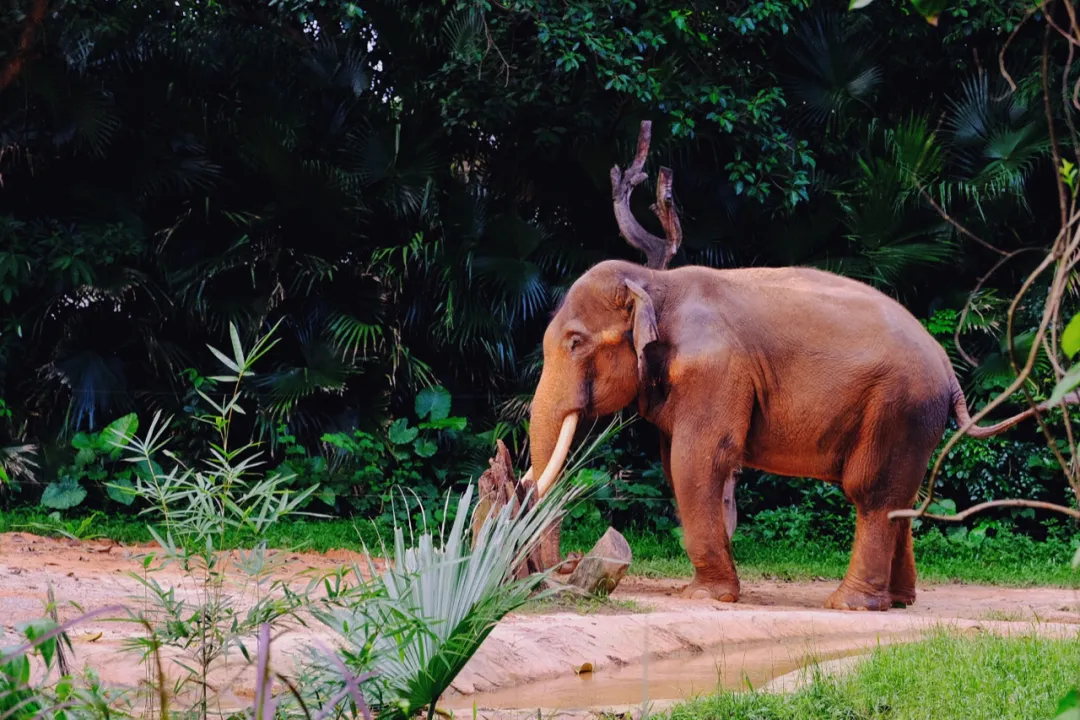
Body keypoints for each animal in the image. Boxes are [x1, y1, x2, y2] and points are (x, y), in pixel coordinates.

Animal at [524, 255, 1071, 613]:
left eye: (575, 342)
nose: (569, 565)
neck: (655, 281)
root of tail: (950, 369)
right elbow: (680, 464)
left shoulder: (716, 371)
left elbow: (697, 460)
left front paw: (705, 596)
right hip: (915, 419)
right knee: (901, 498)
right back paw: (896, 602)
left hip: (899, 408)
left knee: (872, 494)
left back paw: (849, 605)